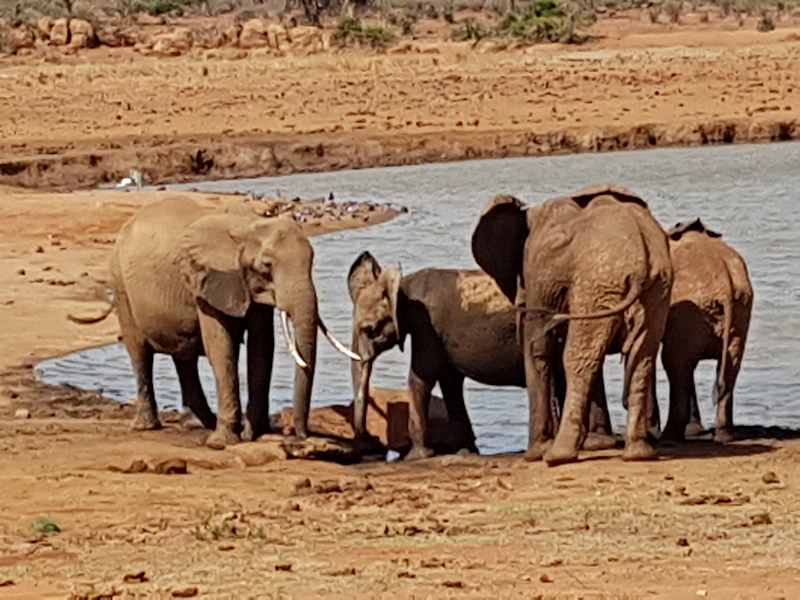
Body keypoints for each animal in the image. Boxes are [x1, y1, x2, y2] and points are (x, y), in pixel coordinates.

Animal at [69, 196, 359, 449]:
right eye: (266, 266)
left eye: (312, 261)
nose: (300, 437)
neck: (247, 226)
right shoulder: (207, 280)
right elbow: (220, 347)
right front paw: (225, 442)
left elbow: (262, 348)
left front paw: (254, 433)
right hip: (122, 288)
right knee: (140, 353)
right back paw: (149, 426)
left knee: (183, 356)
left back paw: (201, 423)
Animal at [346, 251, 616, 460]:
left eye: (369, 329)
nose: (370, 441)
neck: (404, 285)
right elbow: (450, 381)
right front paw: (467, 452)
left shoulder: (427, 327)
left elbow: (422, 378)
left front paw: (417, 457)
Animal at [471, 184, 673, 466]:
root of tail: (641, 259)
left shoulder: (538, 273)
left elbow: (538, 348)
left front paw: (535, 454)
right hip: (655, 290)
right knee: (642, 356)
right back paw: (638, 453)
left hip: (596, 283)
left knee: (580, 358)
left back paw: (558, 455)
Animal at [658, 218, 754, 443]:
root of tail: (725, 284)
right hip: (740, 310)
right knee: (729, 367)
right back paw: (723, 435)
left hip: (694, 309)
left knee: (674, 363)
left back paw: (669, 437)